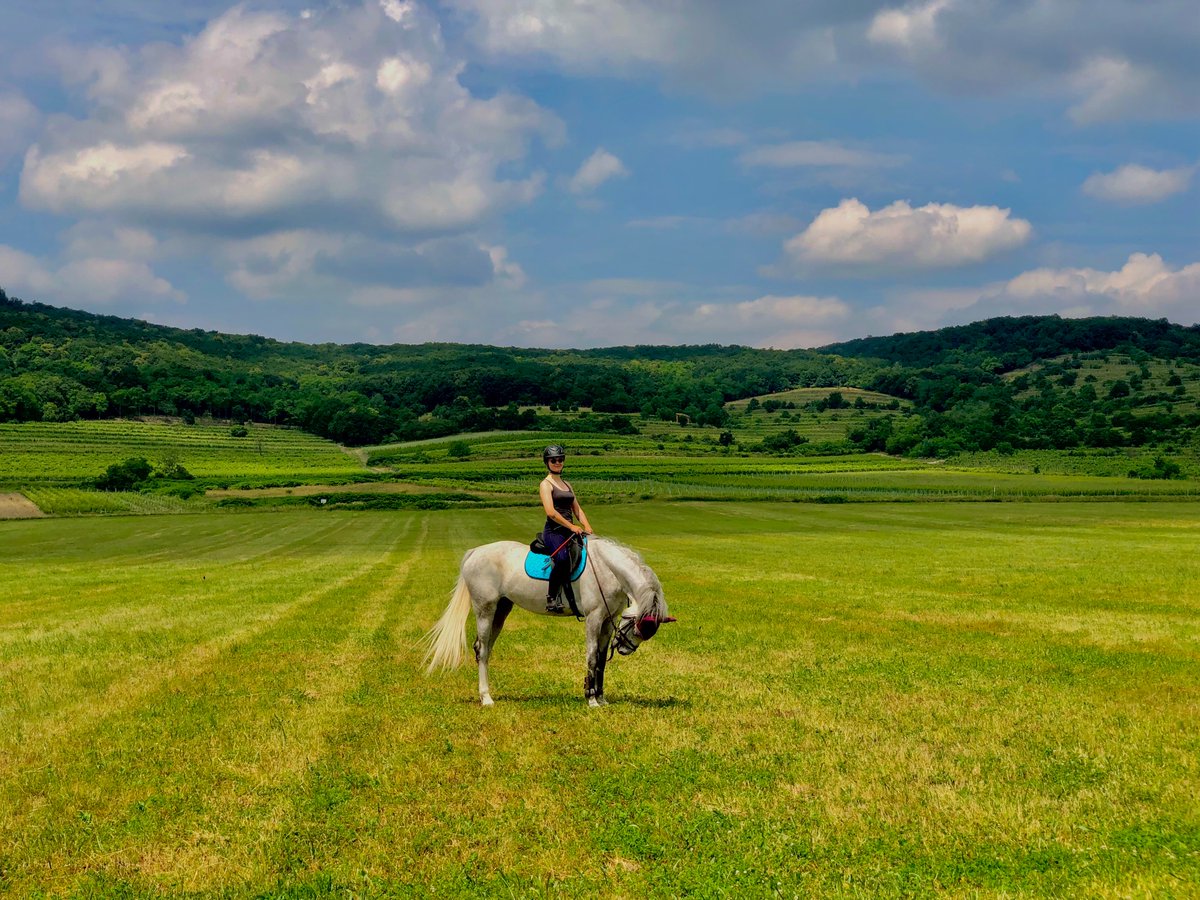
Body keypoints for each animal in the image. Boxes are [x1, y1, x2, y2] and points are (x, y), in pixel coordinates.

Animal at [424, 537, 674, 707]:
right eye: (637, 626)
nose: (625, 649)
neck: (607, 568)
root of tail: (476, 552)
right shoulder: (594, 618)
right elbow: (592, 657)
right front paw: (591, 699)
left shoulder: (607, 620)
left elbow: (602, 660)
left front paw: (601, 698)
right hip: (485, 609)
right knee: (483, 650)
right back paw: (486, 698)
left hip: (501, 610)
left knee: (485, 650)